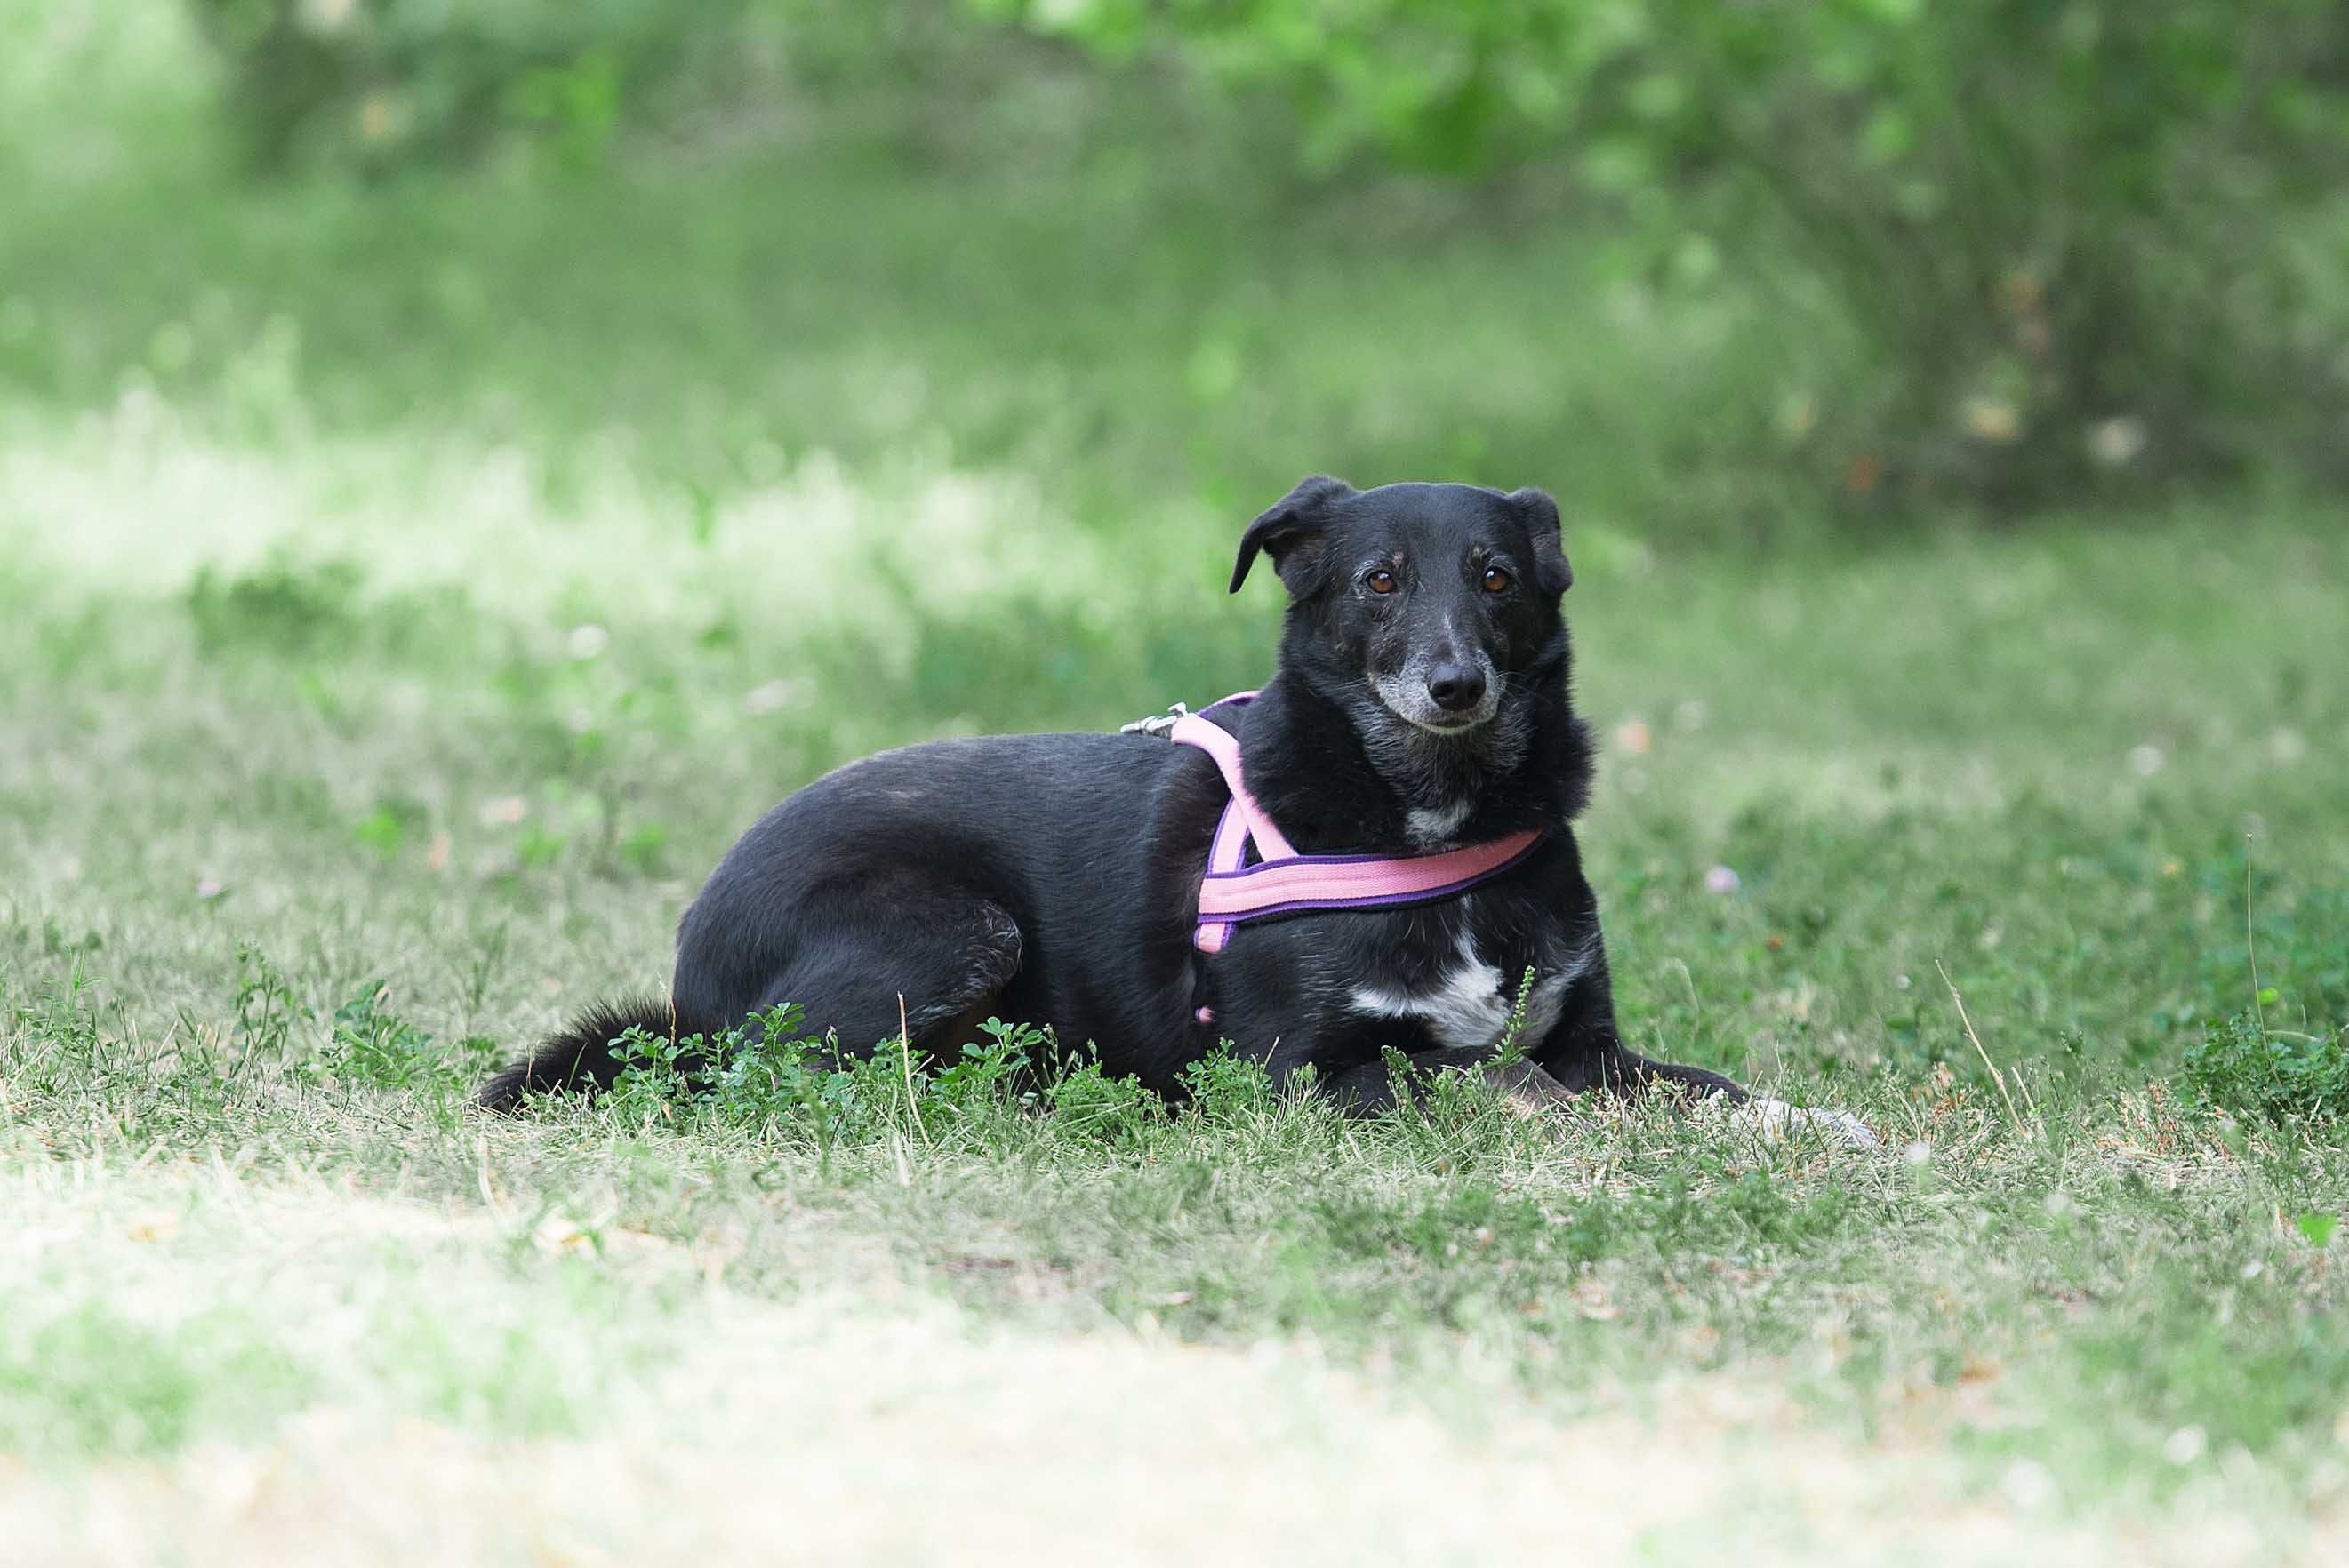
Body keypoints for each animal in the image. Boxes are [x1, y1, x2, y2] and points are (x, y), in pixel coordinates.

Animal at [485, 471, 1823, 1122]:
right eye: (1381, 580)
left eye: (1497, 577)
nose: (1455, 685)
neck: (1421, 812)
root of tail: (688, 970)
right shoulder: (1299, 1069)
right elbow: (1500, 1087)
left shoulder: (1594, 1041)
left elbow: (1705, 1089)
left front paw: (1813, 1127)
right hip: (951, 926)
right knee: (787, 1078)